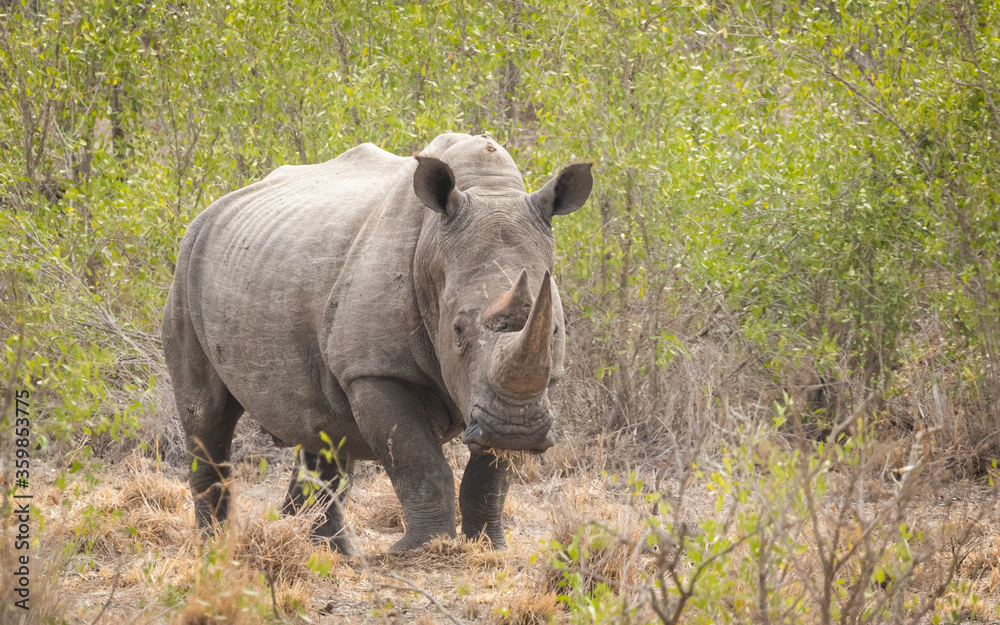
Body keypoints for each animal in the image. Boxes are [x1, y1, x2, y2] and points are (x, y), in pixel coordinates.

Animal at [162, 133, 592, 553]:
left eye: (555, 331)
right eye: (456, 330)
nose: (515, 429)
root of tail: (213, 209)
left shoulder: (519, 389)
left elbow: (491, 474)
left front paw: (488, 547)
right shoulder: (375, 369)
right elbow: (418, 461)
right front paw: (422, 549)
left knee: (323, 428)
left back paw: (327, 551)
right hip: (186, 265)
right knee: (208, 416)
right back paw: (215, 546)